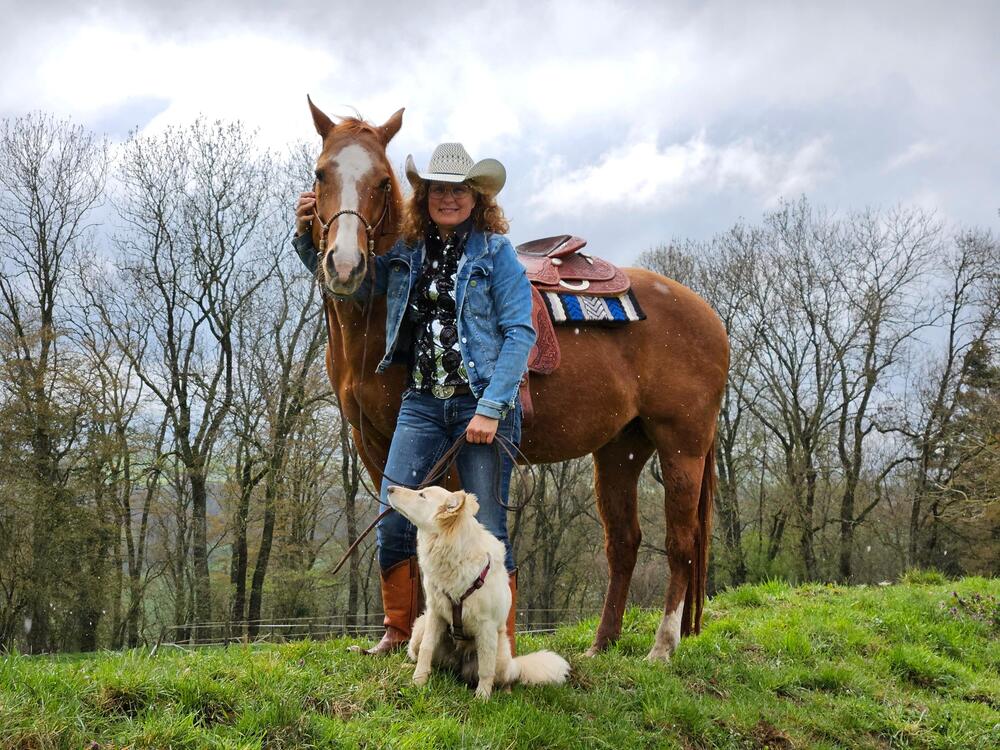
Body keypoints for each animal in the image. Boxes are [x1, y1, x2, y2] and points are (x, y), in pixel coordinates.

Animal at [304, 100, 728, 664]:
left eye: (380, 182)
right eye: (321, 174)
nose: (346, 265)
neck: (372, 322)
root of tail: (707, 314)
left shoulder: (445, 450)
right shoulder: (376, 445)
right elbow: (398, 537)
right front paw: (395, 639)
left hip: (683, 445)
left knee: (681, 543)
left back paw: (661, 648)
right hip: (621, 449)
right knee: (624, 542)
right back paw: (601, 644)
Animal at [386, 484, 568, 704]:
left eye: (422, 495)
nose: (389, 488)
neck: (452, 553)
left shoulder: (486, 627)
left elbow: (486, 669)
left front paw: (482, 698)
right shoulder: (434, 614)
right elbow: (425, 650)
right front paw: (418, 682)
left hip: (501, 655)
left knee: (505, 677)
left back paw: (504, 691)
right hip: (420, 627)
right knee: (428, 660)